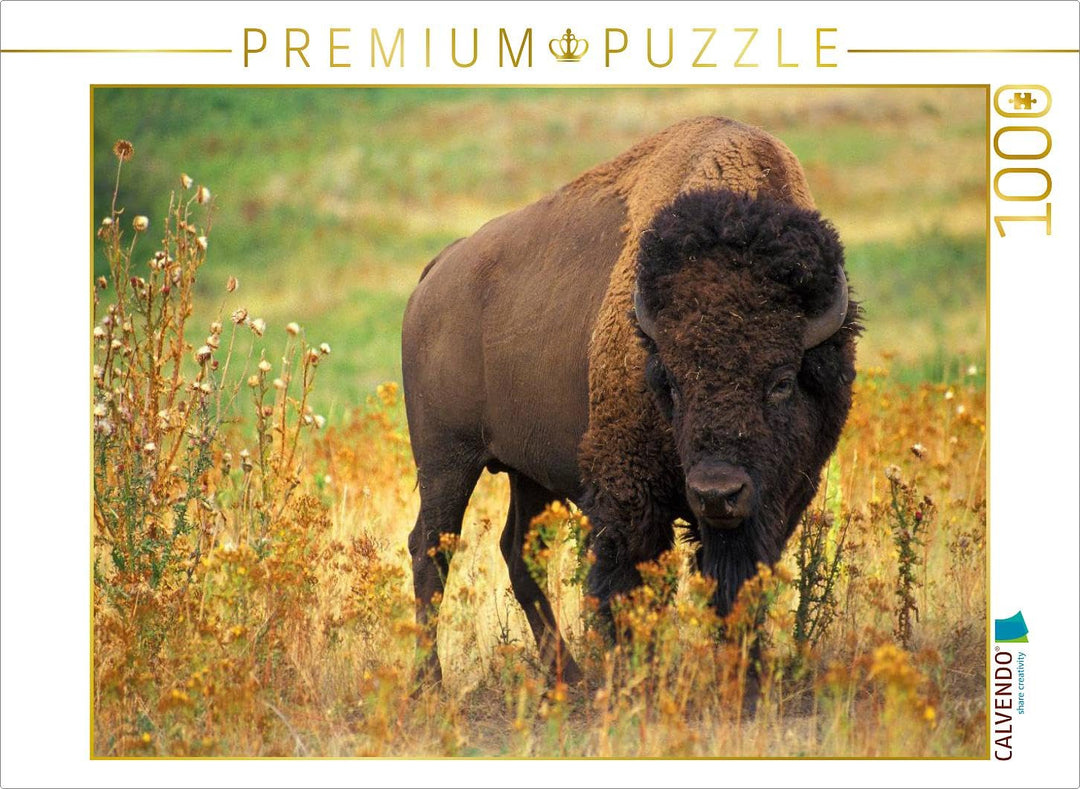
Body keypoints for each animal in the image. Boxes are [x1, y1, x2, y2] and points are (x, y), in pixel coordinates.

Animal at [401, 116, 858, 684]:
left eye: (781, 381)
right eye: (673, 382)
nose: (716, 493)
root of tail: (437, 273)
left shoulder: (778, 499)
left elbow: (739, 584)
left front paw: (743, 674)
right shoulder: (629, 493)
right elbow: (628, 586)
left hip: (528, 472)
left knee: (517, 551)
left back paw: (568, 676)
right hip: (446, 461)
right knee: (431, 550)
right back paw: (431, 682)